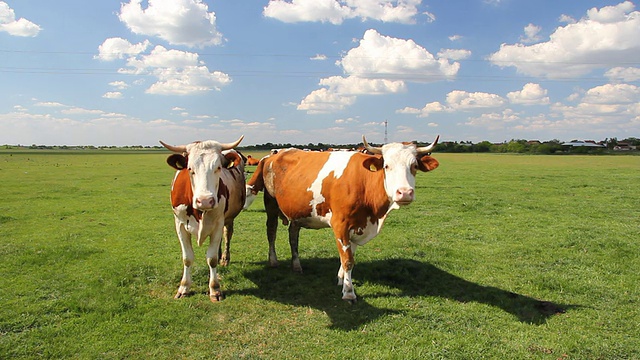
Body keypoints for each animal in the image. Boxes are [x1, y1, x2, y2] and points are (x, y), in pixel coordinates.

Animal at [161, 136, 246, 302]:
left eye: (218, 167)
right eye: (189, 169)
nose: (205, 201)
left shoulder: (218, 223)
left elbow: (211, 258)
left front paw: (215, 289)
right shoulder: (179, 225)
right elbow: (187, 258)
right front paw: (184, 287)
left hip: (228, 219)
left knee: (227, 235)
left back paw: (224, 258)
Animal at [242, 135, 438, 300]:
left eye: (414, 166)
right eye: (386, 166)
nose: (404, 193)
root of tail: (272, 155)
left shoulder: (358, 226)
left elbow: (349, 255)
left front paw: (340, 279)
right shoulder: (340, 224)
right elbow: (348, 260)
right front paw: (349, 292)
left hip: (298, 211)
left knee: (293, 235)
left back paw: (296, 265)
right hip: (271, 204)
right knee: (271, 231)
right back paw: (273, 261)